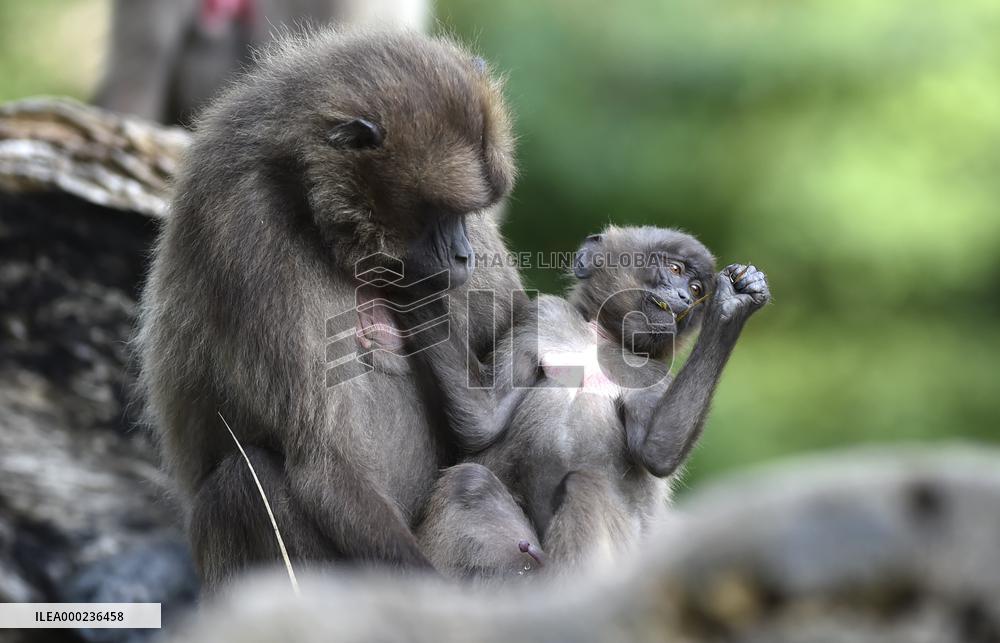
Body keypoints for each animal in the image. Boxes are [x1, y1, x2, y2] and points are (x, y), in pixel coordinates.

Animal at [136, 28, 524, 589]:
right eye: (438, 214)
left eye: (466, 215)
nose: (463, 254)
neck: (309, 202)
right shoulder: (245, 228)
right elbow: (322, 462)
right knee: (241, 483)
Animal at [413, 225, 770, 579]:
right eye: (675, 270)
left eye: (697, 290)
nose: (684, 298)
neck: (599, 342)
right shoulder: (545, 317)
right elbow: (483, 421)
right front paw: (415, 290)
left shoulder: (653, 372)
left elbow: (657, 452)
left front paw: (732, 307)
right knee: (469, 484)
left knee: (584, 487)